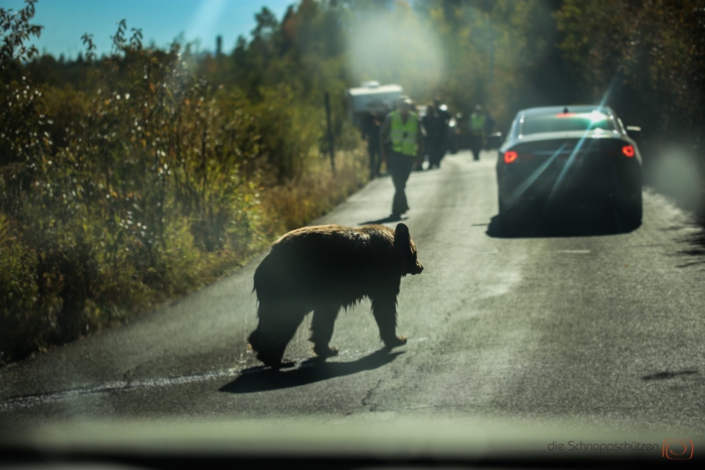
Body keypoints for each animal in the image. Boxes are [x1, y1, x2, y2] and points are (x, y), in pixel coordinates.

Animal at [248, 222, 424, 370]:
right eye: (415, 253)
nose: (421, 267)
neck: (394, 251)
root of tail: (262, 267)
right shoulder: (383, 275)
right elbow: (385, 306)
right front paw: (398, 338)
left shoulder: (329, 296)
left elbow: (324, 319)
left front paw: (327, 349)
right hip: (290, 288)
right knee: (282, 322)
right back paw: (279, 360)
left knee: (266, 321)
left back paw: (258, 347)